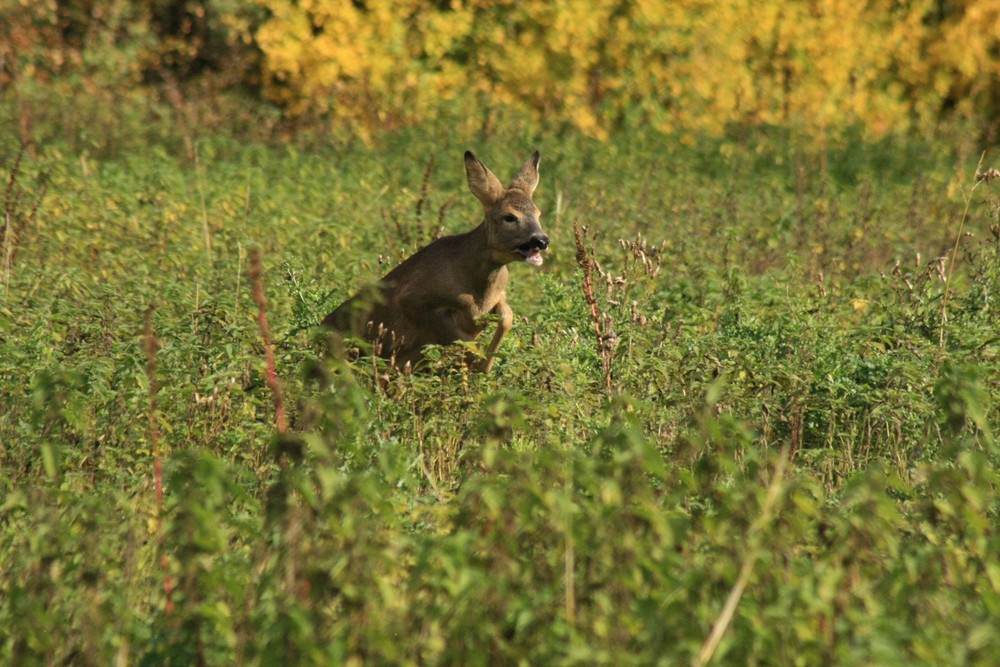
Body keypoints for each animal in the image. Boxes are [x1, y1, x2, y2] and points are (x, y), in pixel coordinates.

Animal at [324, 148, 552, 374]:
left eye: (538, 213)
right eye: (509, 217)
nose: (541, 240)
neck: (478, 292)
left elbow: (507, 316)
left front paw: (485, 366)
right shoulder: (413, 299)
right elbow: (467, 343)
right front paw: (477, 367)